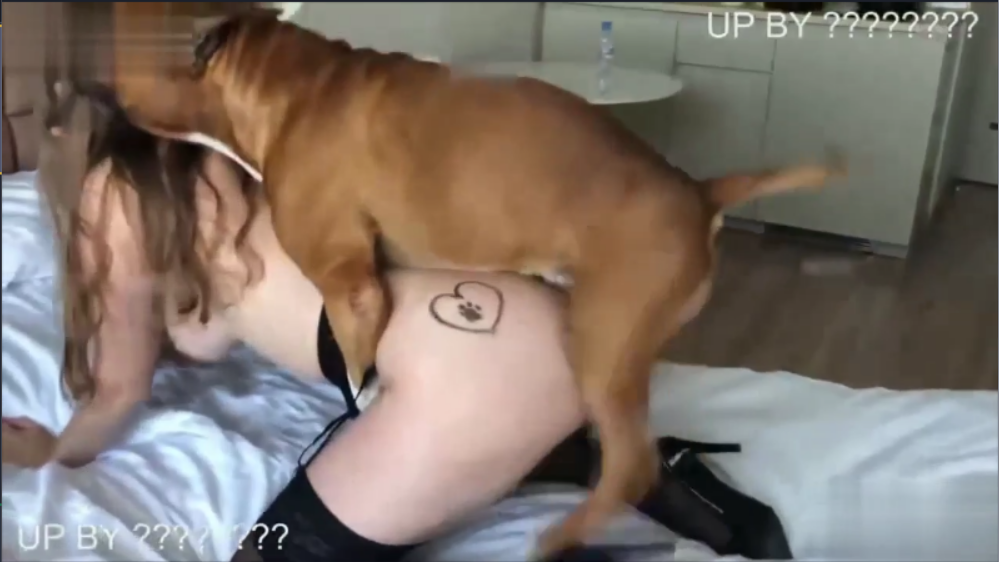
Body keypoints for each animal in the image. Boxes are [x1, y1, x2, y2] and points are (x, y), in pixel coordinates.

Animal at [115, 10, 842, 557]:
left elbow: (356, 370)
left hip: (601, 344)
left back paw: (559, 539)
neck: (291, 82)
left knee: (631, 466)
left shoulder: (351, 287)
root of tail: (698, 191)